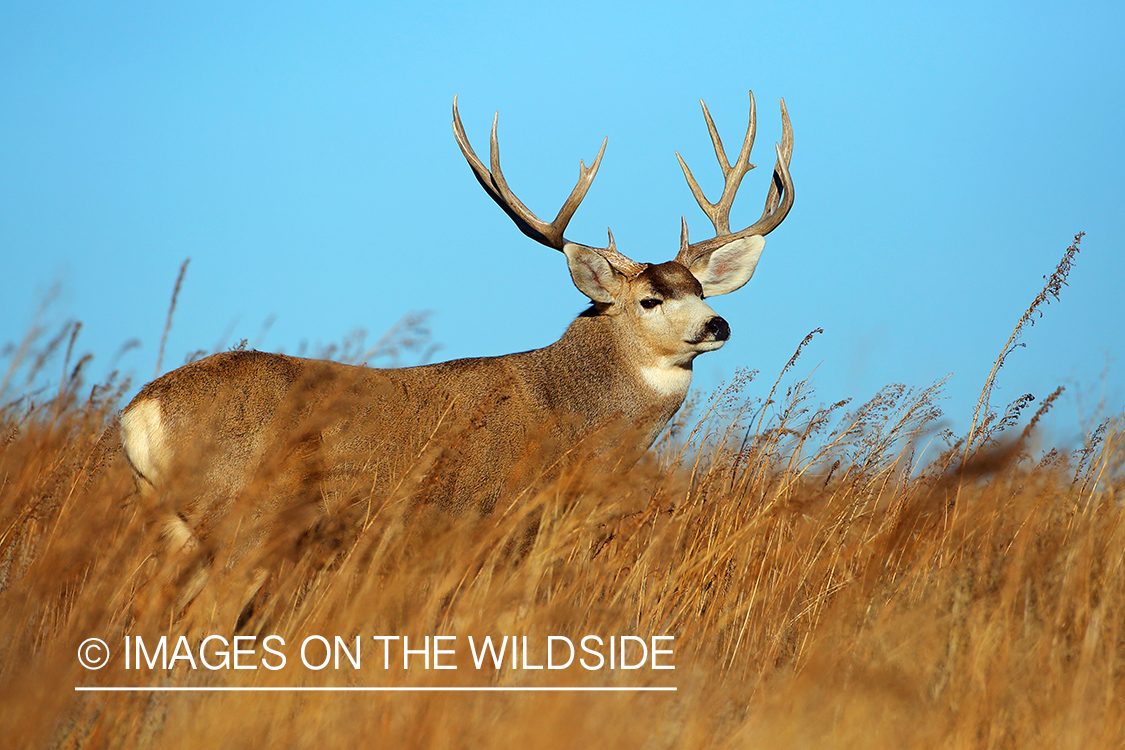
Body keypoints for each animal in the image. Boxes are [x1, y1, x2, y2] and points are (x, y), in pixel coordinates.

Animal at [117, 92, 793, 609]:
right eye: (650, 300)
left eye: (699, 289)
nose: (717, 324)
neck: (570, 411)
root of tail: (140, 412)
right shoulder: (490, 521)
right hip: (246, 520)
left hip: (176, 526)